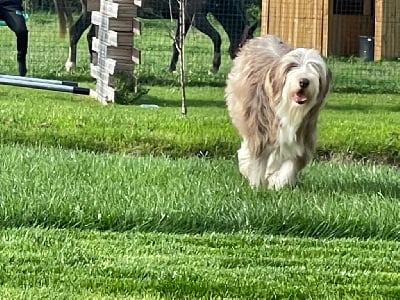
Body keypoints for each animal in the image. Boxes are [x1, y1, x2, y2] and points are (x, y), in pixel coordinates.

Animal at [54, 0, 256, 72]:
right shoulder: (196, 17)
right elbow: (217, 38)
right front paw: (214, 67)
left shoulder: (185, 19)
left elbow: (177, 43)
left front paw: (172, 68)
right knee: (75, 32)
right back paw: (71, 64)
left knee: (90, 36)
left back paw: (94, 62)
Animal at [225, 34, 332, 190]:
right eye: (292, 66)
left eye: (315, 69)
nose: (304, 81)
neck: (290, 108)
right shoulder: (261, 129)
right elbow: (259, 159)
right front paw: (257, 185)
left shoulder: (302, 135)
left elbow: (291, 164)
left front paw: (278, 183)